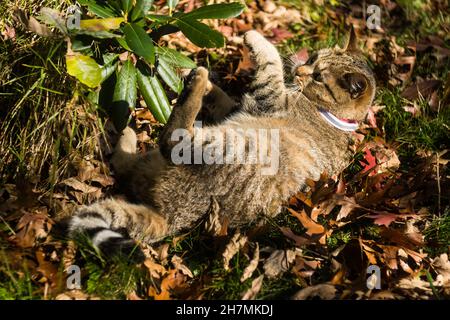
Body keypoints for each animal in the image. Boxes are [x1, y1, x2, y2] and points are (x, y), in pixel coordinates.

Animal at [67, 27, 376, 258]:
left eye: (319, 76)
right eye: (312, 59)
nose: (300, 70)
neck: (331, 116)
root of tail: (170, 217)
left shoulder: (270, 96)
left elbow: (271, 63)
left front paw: (254, 38)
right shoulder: (240, 107)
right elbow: (224, 95)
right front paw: (206, 82)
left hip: (223, 146)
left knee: (171, 138)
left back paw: (192, 87)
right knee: (125, 166)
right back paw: (132, 130)